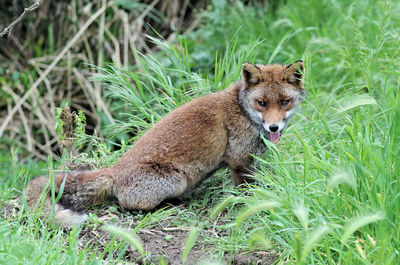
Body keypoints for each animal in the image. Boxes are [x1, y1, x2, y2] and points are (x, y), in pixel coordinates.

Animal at [25, 60, 304, 226]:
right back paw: (169, 206)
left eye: (284, 102)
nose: (274, 127)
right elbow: (247, 191)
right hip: (175, 180)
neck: (242, 110)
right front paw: (251, 204)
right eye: (262, 103)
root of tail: (114, 170)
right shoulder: (239, 160)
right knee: (129, 204)